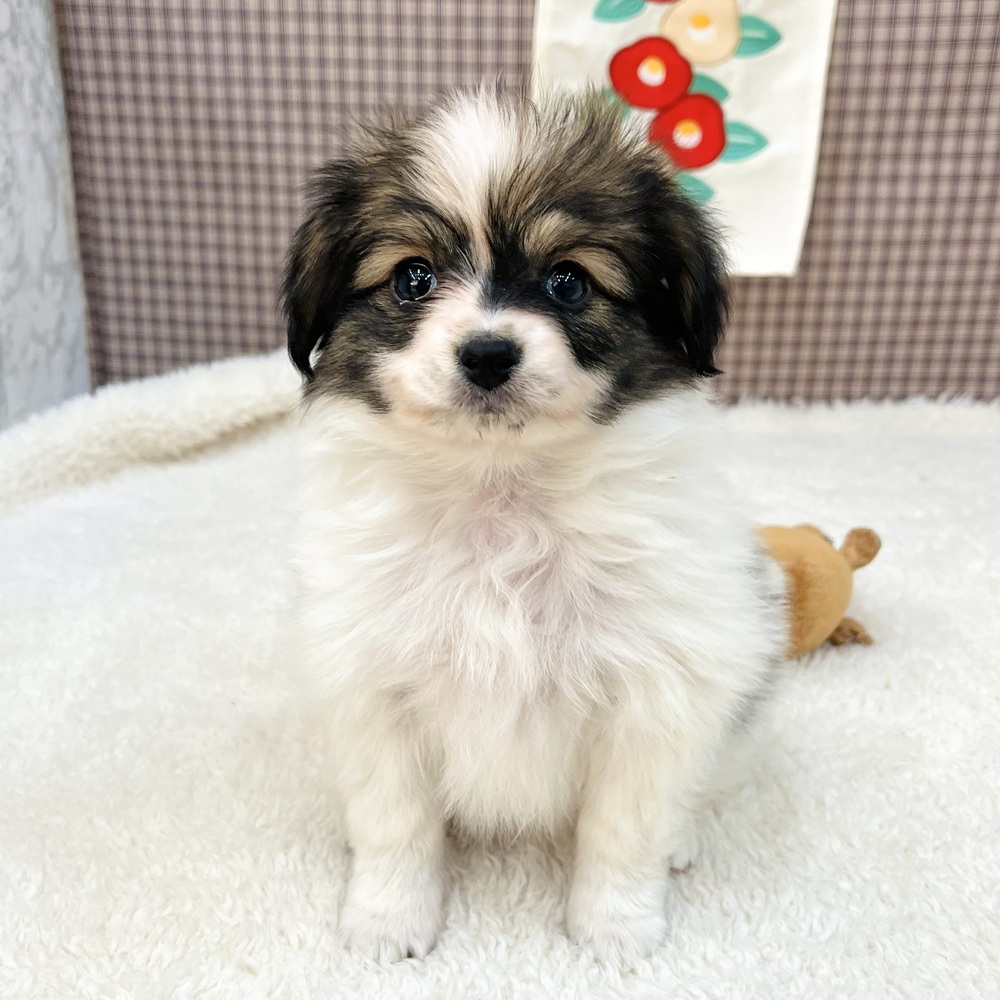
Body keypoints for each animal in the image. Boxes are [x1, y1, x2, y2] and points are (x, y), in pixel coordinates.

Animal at [282, 87, 785, 964]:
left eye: (569, 283)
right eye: (413, 278)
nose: (487, 354)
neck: (502, 494)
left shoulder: (654, 692)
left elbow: (624, 829)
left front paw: (615, 932)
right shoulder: (374, 686)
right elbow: (394, 825)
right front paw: (387, 923)